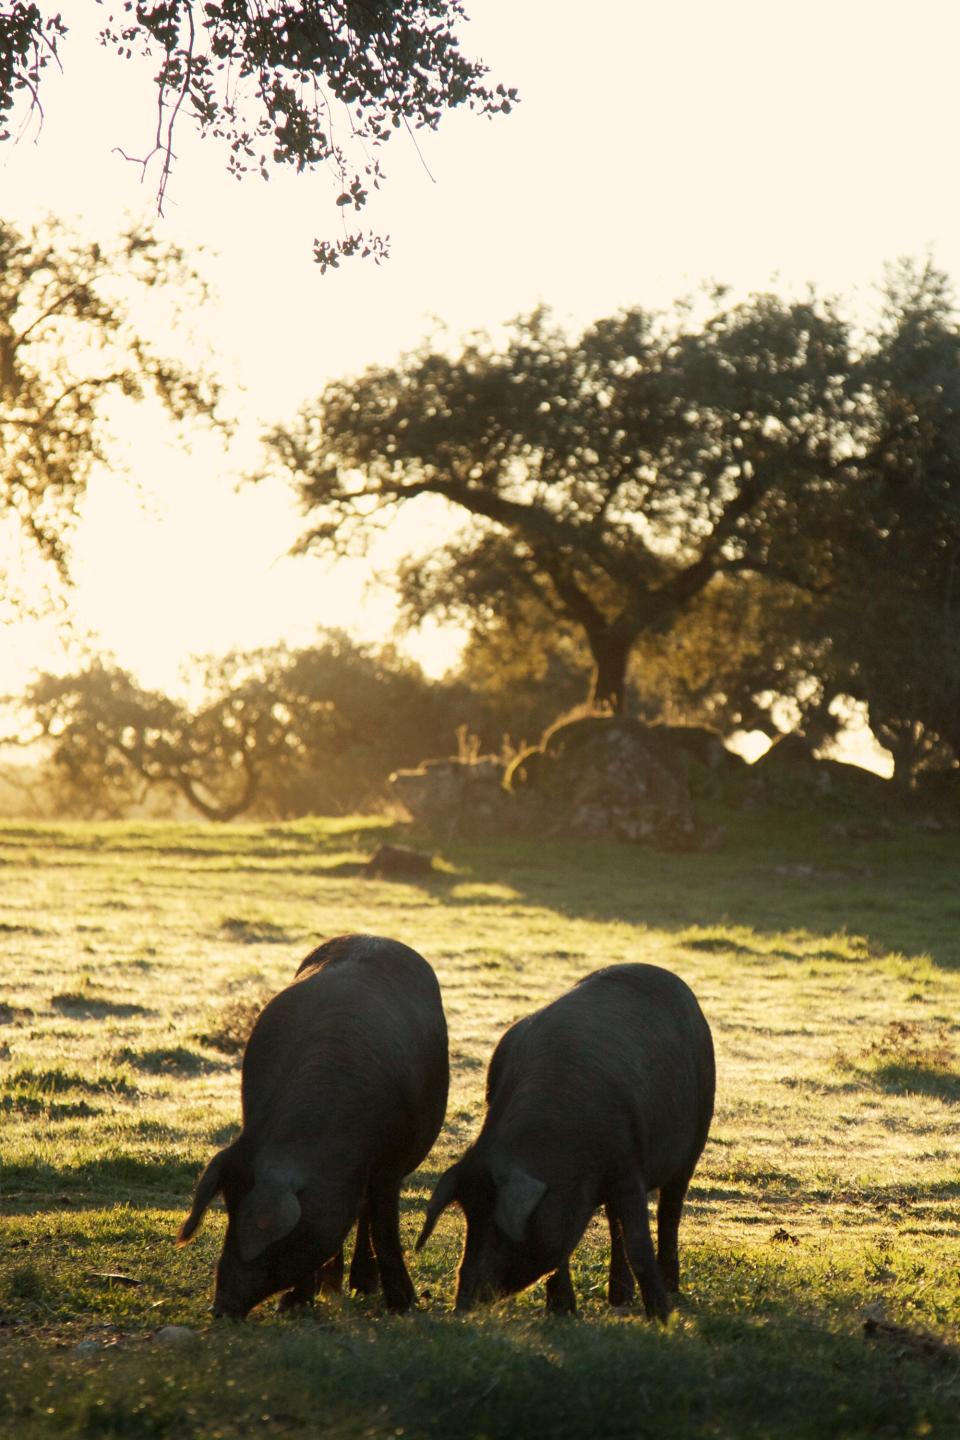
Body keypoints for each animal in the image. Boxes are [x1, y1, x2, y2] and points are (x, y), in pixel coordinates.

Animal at [178, 933, 449, 1319]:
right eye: (228, 1211)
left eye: (273, 1237)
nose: (219, 1309)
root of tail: (376, 936)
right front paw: (293, 1304)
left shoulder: (390, 1164)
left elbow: (385, 1228)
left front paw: (403, 1306)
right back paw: (333, 1286)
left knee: (366, 1214)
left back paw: (363, 1287)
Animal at [417, 967, 713, 1319]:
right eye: (470, 1218)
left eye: (498, 1226)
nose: (462, 1305)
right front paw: (563, 1311)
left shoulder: (628, 1166)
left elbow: (638, 1242)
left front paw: (662, 1317)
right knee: (615, 1224)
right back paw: (619, 1299)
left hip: (697, 1134)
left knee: (670, 1211)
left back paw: (669, 1288)